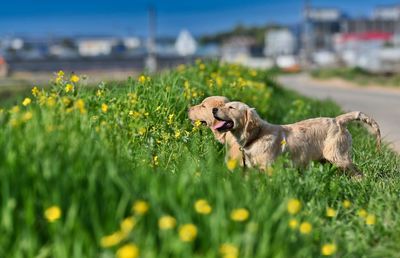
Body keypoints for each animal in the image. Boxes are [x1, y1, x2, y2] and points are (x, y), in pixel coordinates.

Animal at [212, 101, 382, 177]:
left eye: (231, 107)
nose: (214, 109)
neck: (256, 135)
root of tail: (338, 120)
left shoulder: (269, 168)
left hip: (338, 156)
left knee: (358, 173)